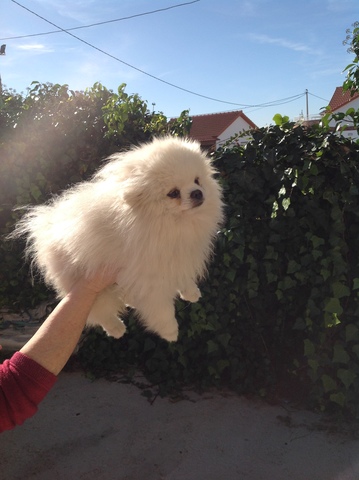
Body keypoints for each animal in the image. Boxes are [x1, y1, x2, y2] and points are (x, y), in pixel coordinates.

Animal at [11, 137, 224, 344]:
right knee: (100, 313)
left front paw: (191, 292)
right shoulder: (150, 280)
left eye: (197, 180)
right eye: (173, 193)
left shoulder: (178, 256)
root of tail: (46, 229)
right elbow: (162, 311)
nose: (197, 193)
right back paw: (116, 328)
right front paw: (170, 332)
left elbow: (183, 276)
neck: (173, 224)